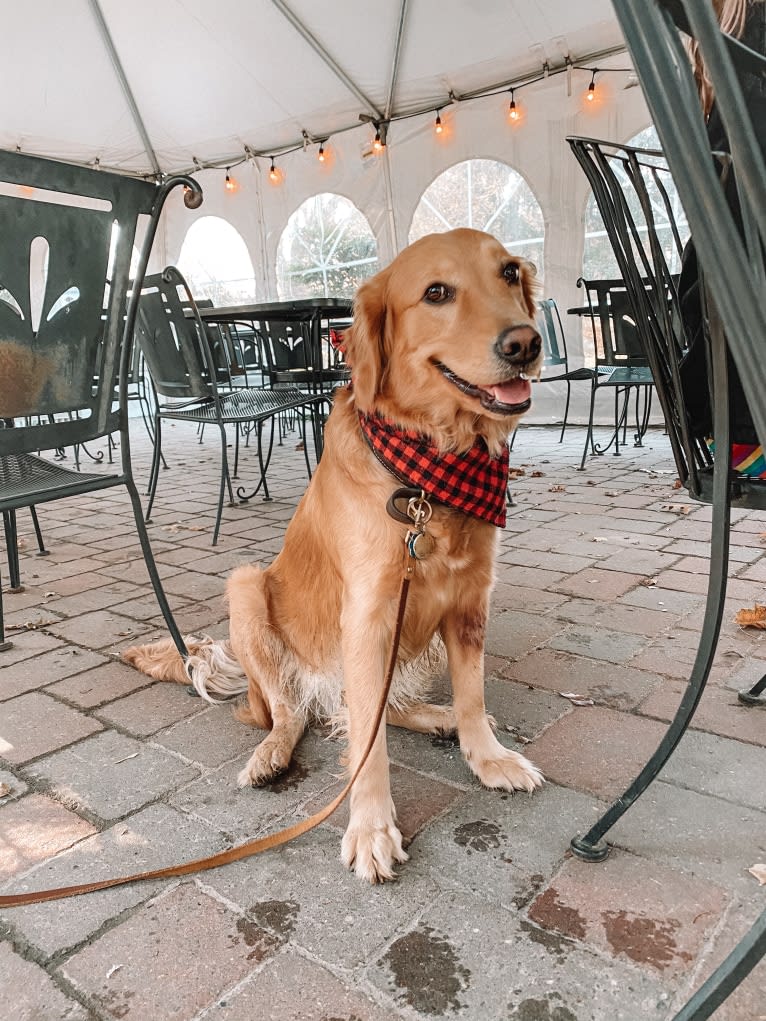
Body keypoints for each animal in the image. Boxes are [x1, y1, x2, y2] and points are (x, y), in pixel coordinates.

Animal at [123, 227, 547, 882]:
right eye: (437, 292)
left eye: (507, 273)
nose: (525, 343)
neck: (430, 474)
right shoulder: (367, 618)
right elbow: (367, 750)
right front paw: (370, 828)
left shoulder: (470, 604)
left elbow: (473, 695)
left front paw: (487, 756)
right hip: (247, 590)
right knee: (296, 714)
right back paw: (272, 753)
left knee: (366, 711)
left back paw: (438, 717)